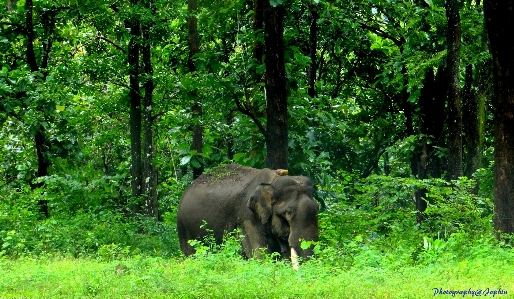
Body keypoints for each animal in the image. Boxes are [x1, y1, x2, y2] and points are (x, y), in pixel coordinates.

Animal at [178, 164, 318, 268]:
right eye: (288, 213)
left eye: (317, 208)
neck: (272, 181)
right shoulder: (247, 217)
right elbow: (260, 254)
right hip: (183, 226)